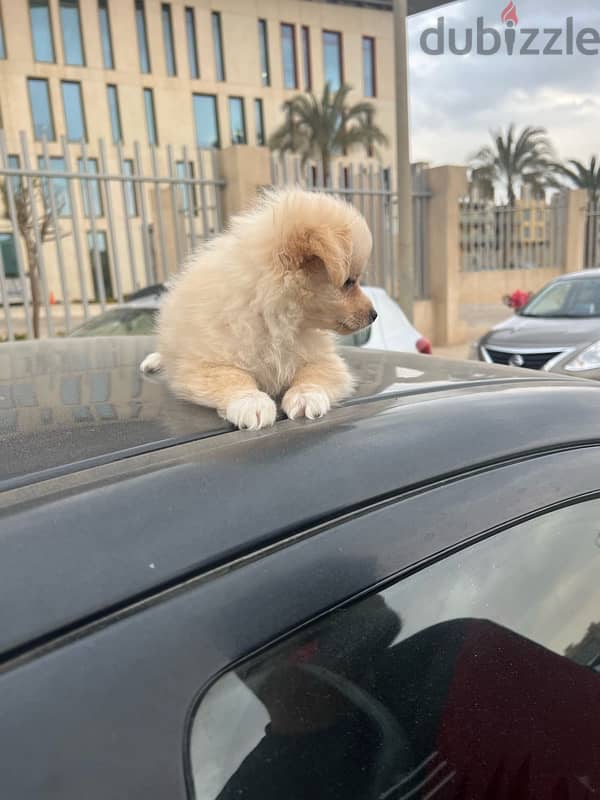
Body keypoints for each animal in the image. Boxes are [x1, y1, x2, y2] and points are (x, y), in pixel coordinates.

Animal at [141, 188, 376, 432]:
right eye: (349, 282)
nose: (374, 315)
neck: (275, 319)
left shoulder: (325, 360)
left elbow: (313, 375)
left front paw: (306, 397)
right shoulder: (202, 366)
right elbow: (233, 377)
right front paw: (251, 402)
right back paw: (154, 361)